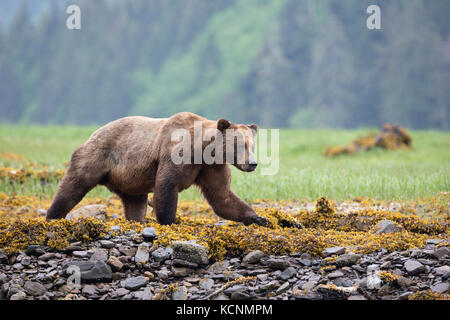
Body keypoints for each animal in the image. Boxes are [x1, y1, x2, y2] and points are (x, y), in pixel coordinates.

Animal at [46, 111, 268, 226]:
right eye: (240, 145)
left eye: (252, 145)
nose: (252, 163)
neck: (203, 149)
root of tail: (93, 133)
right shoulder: (176, 153)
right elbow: (166, 186)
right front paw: (169, 221)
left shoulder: (210, 167)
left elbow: (222, 195)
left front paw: (258, 217)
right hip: (98, 156)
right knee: (73, 185)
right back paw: (53, 215)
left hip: (130, 179)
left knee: (135, 201)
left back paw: (137, 221)